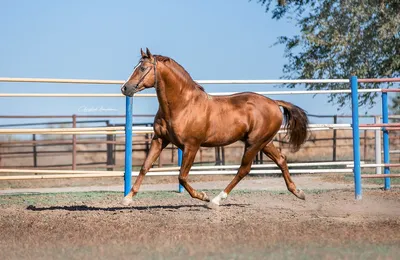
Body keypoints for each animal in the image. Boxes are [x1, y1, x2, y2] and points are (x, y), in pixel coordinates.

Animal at [120, 49, 308, 207]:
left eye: (143, 68)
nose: (125, 88)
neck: (183, 105)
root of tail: (274, 102)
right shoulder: (159, 139)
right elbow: (145, 167)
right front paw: (127, 198)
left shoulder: (192, 146)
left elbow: (182, 177)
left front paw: (203, 196)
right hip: (265, 142)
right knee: (281, 160)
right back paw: (298, 192)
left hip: (254, 144)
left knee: (244, 169)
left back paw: (216, 200)